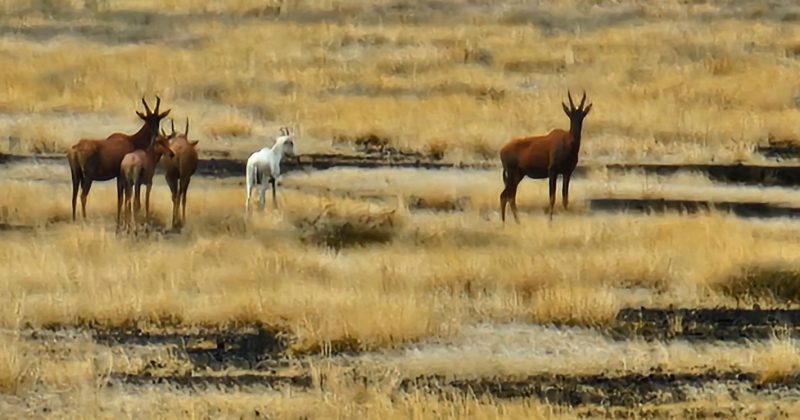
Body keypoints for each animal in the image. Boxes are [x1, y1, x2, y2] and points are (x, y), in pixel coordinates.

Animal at [499, 90, 593, 223]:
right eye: (570, 115)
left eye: (582, 115)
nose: (574, 139)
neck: (565, 142)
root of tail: (502, 150)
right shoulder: (552, 172)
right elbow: (552, 197)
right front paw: (550, 222)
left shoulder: (567, 173)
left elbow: (565, 197)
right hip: (512, 175)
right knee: (506, 196)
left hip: (518, 175)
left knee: (509, 196)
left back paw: (516, 222)